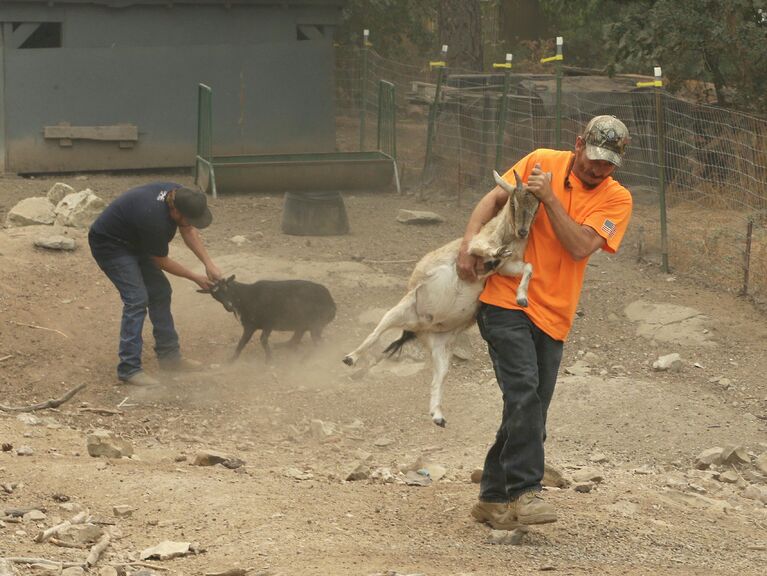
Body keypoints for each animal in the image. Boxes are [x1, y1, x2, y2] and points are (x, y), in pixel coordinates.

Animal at [201, 274, 336, 360]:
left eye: (226, 287)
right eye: (214, 295)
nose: (228, 306)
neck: (246, 296)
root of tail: (332, 303)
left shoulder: (269, 323)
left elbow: (263, 340)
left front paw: (269, 359)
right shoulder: (250, 326)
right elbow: (242, 342)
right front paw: (232, 360)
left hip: (316, 324)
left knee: (319, 343)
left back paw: (308, 359)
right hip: (305, 324)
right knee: (298, 337)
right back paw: (284, 346)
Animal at [342, 169, 540, 426]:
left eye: (536, 206)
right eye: (514, 202)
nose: (523, 232)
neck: (504, 236)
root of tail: (418, 328)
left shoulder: (507, 267)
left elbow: (528, 267)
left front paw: (522, 299)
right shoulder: (475, 247)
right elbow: (486, 251)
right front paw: (496, 254)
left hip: (441, 347)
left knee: (438, 377)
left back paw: (438, 416)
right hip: (400, 309)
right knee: (375, 334)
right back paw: (350, 358)